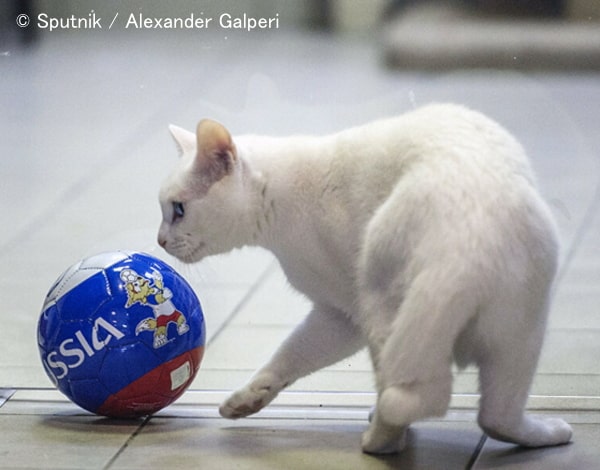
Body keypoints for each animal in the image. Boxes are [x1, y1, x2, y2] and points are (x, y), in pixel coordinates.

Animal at [158, 104, 572, 454]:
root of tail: (467, 241)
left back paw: (380, 440)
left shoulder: (349, 310)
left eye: (178, 210)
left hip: (381, 296)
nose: (160, 240)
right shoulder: (339, 317)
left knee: (421, 394)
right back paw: (547, 432)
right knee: (496, 415)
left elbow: (293, 352)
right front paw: (247, 399)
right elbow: (289, 355)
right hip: (523, 331)